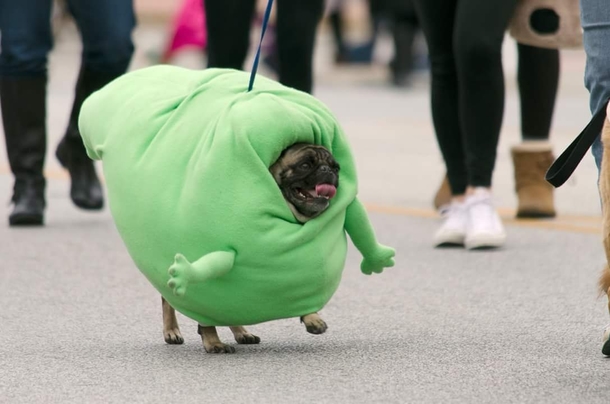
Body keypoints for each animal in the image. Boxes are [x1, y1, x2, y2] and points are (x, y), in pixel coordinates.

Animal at [162, 144, 340, 352]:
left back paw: (242, 333)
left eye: (336, 168)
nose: (327, 171)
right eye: (305, 165)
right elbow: (206, 317)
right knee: (168, 301)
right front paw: (213, 342)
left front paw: (312, 318)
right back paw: (172, 331)